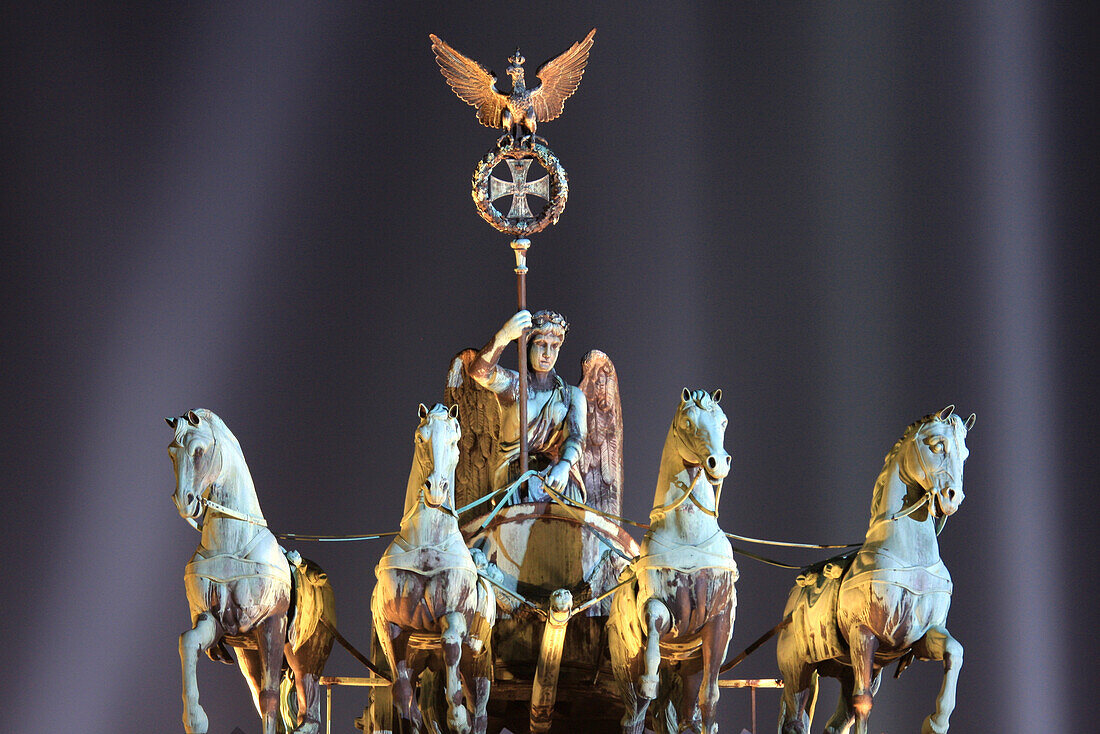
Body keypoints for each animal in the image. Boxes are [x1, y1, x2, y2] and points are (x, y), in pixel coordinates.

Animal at [166, 407, 334, 734]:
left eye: (199, 450)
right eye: (171, 452)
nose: (184, 502)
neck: (231, 543)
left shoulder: (272, 623)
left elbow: (270, 697)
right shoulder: (213, 621)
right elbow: (187, 642)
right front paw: (195, 719)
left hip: (304, 655)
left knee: (309, 712)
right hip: (249, 654)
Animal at [371, 404, 497, 730]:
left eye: (456, 441)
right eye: (420, 438)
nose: (436, 489)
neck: (427, 543)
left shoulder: (453, 616)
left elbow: (451, 647)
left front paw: (458, 718)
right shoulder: (391, 629)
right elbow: (403, 693)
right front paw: (414, 720)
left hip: (478, 663)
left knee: (480, 711)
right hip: (422, 660)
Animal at [607, 389, 734, 734]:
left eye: (723, 421)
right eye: (688, 421)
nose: (718, 463)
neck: (688, 536)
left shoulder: (719, 623)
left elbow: (710, 699)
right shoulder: (658, 607)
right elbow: (652, 618)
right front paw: (650, 677)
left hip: (686, 670)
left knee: (684, 713)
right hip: (625, 667)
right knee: (634, 714)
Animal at [778, 407, 976, 734]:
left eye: (965, 453)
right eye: (937, 446)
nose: (953, 497)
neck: (908, 557)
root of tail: (794, 598)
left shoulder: (921, 637)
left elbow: (955, 651)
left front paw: (936, 722)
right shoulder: (863, 634)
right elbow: (864, 701)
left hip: (848, 669)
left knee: (835, 723)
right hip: (799, 670)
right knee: (795, 720)